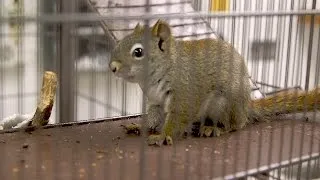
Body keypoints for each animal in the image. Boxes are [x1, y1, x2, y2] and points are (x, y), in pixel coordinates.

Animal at [108, 19, 320, 146]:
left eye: (138, 52)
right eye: (120, 43)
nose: (112, 67)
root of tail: (246, 106)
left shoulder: (185, 92)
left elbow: (178, 116)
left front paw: (161, 136)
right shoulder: (155, 101)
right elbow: (153, 117)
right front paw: (138, 127)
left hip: (222, 104)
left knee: (236, 125)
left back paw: (214, 128)